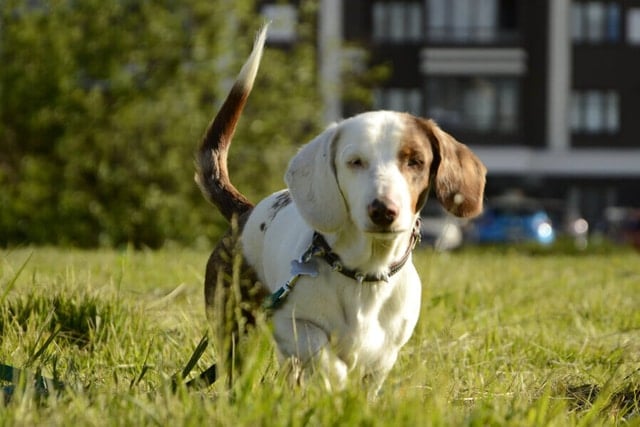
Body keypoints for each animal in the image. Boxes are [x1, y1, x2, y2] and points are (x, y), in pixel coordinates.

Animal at [195, 25, 484, 394]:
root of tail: (244, 213)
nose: (383, 210)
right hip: (235, 324)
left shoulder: (386, 353)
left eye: (416, 161)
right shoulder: (291, 324)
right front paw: (335, 381)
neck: (364, 274)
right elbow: (323, 356)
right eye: (355, 162)